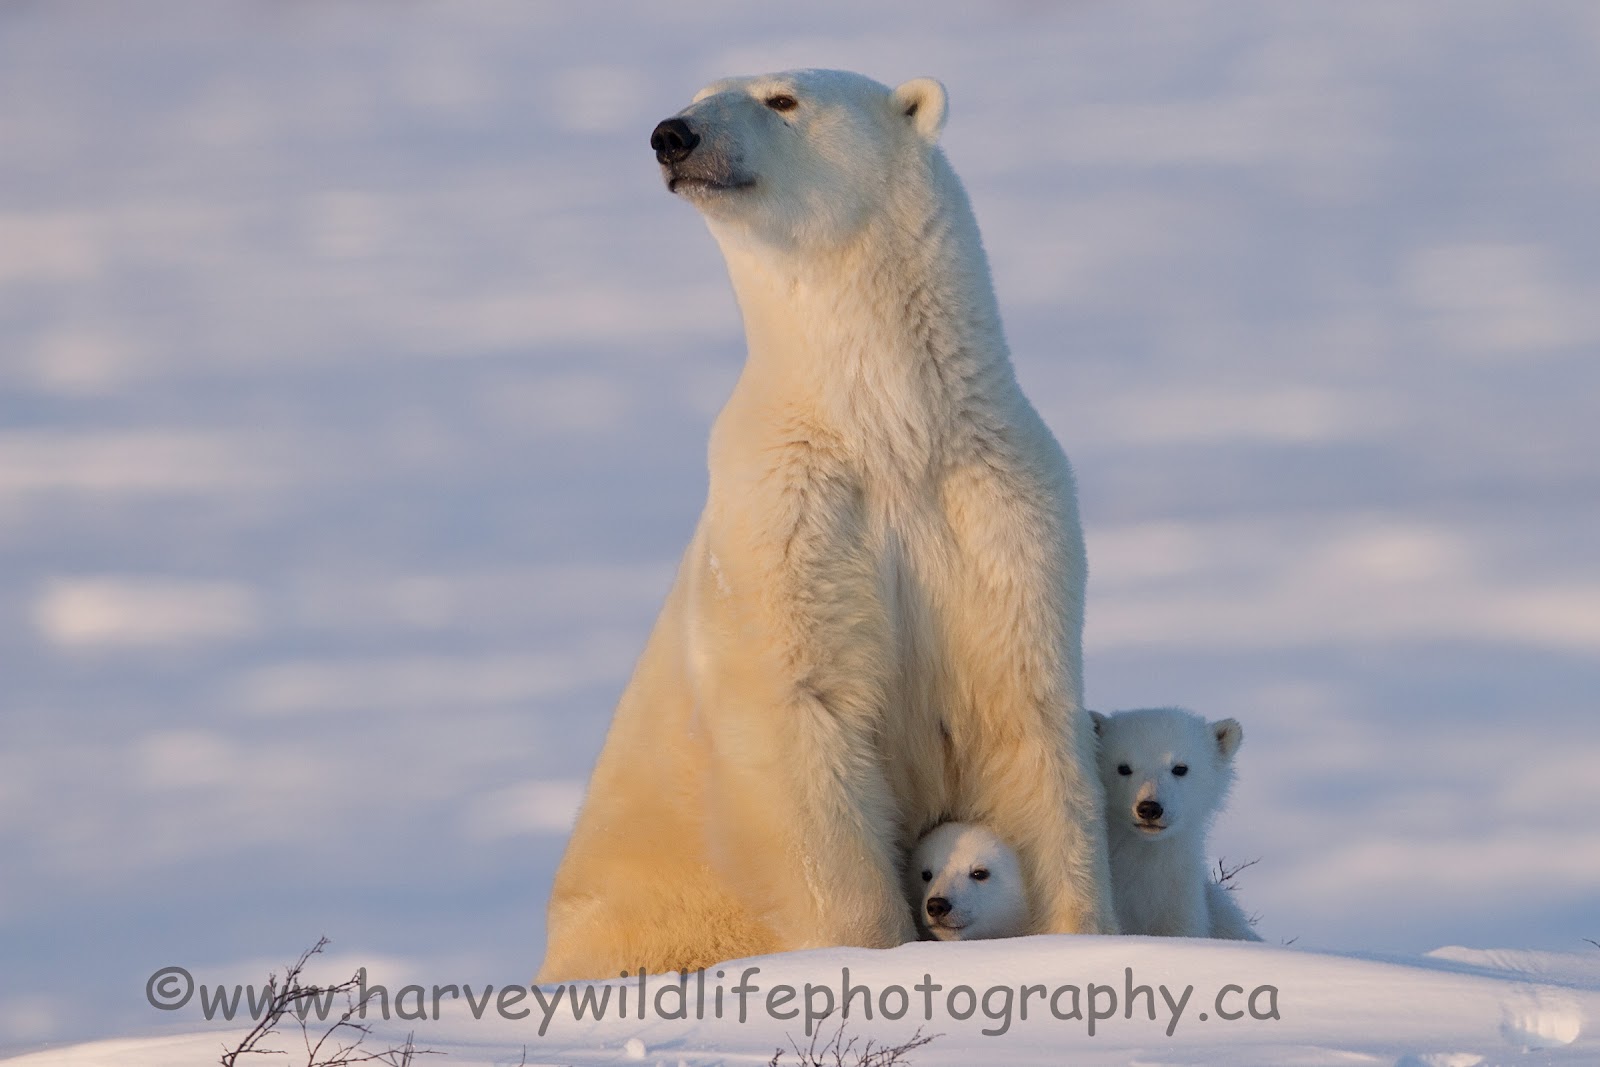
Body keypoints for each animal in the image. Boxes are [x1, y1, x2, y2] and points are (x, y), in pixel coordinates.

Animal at [537, 68, 1117, 983]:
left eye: (782, 99)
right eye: (698, 94)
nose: (673, 136)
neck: (889, 428)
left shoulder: (999, 506)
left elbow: (1022, 713)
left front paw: (1076, 935)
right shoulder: (786, 515)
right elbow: (806, 712)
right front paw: (868, 954)